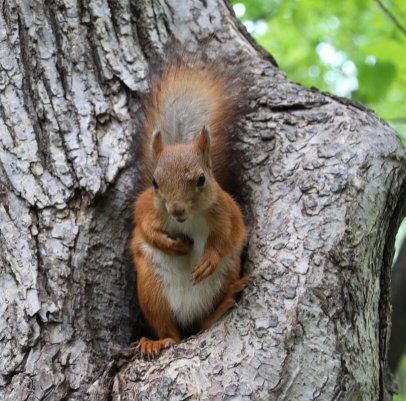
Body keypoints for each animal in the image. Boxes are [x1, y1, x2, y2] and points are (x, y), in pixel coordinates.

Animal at [132, 52, 249, 356]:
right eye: (155, 182)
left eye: (201, 179)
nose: (176, 210)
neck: (190, 219)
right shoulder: (147, 209)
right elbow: (146, 230)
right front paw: (174, 245)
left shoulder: (225, 211)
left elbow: (228, 235)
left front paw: (208, 259)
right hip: (151, 291)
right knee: (170, 331)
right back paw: (155, 341)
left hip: (226, 275)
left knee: (203, 323)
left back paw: (222, 305)